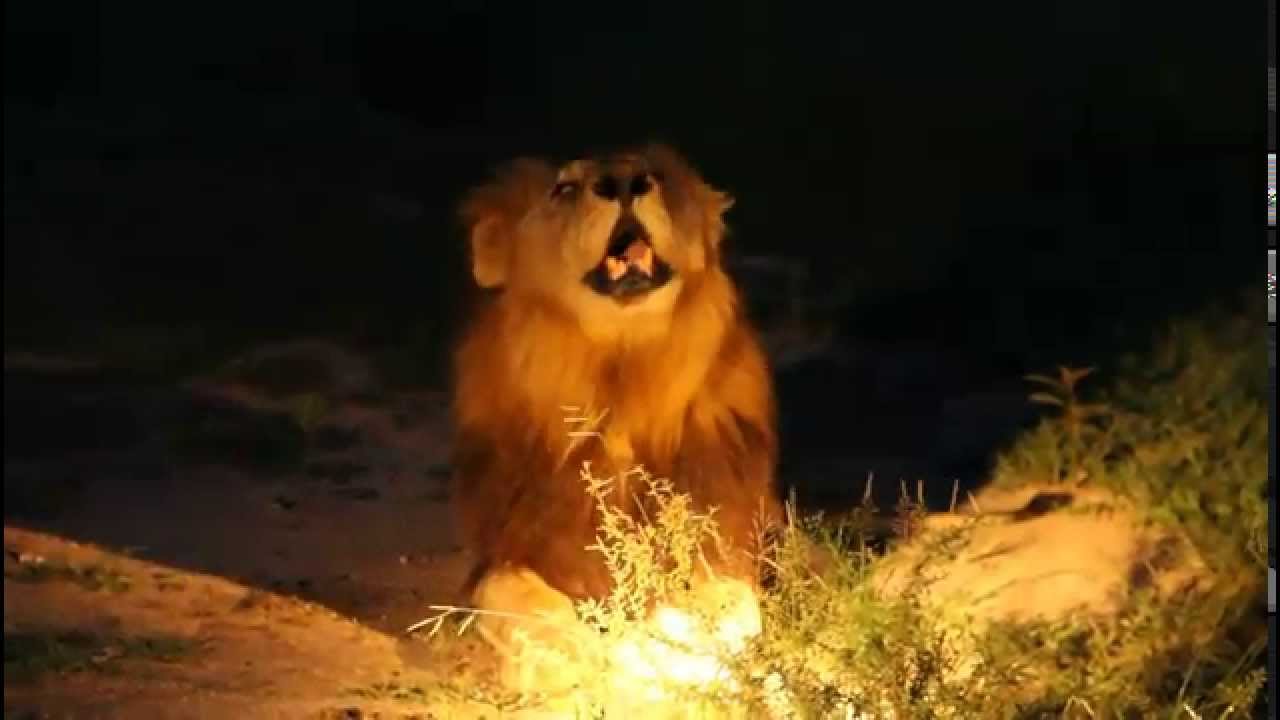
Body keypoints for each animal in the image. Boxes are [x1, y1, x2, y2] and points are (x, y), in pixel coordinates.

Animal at [450, 144, 781, 689]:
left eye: (655, 175)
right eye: (563, 189)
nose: (625, 182)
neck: (621, 384)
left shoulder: (726, 535)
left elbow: (724, 600)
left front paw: (671, 647)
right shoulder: (506, 548)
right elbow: (513, 596)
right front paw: (569, 654)